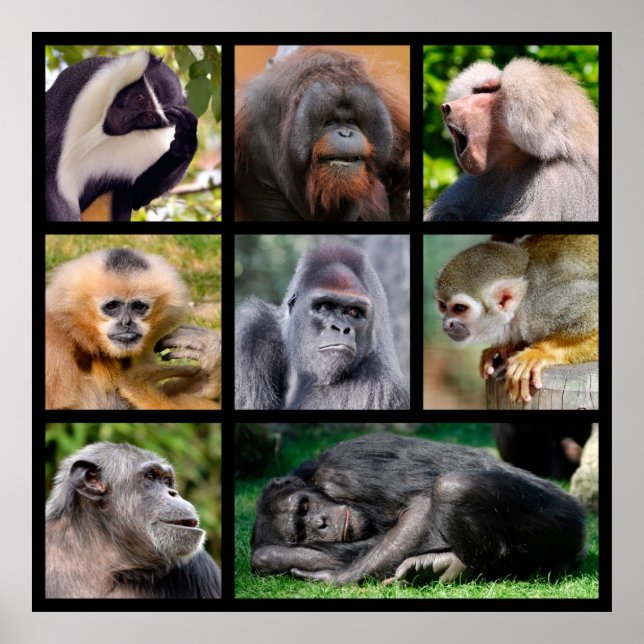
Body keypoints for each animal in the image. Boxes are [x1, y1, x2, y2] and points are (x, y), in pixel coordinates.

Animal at [46, 50, 197, 222]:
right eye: (140, 99)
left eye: (149, 117)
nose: (125, 119)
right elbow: (53, 180)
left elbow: (137, 195)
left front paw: (185, 141)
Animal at [434, 235, 598, 402]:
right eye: (442, 306)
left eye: (459, 308)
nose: (446, 324)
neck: (521, 305)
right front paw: (504, 346)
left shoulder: (546, 305)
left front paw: (542, 352)